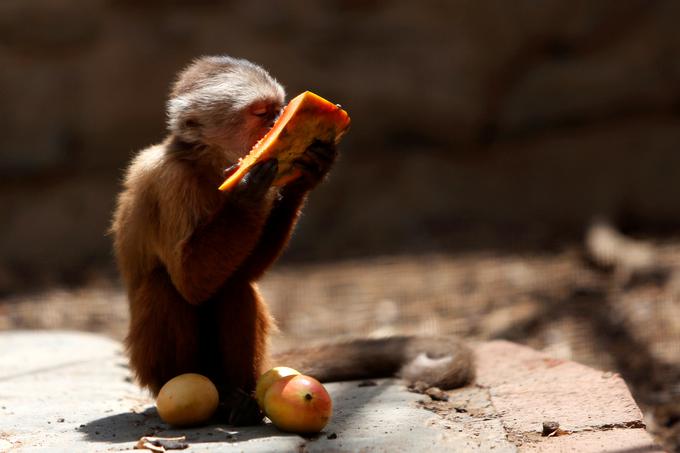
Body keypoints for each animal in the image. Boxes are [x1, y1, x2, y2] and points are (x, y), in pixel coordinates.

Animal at [111, 55, 472, 424]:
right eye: (261, 113)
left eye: (279, 109)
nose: (277, 122)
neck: (207, 163)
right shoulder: (170, 182)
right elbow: (191, 283)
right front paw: (247, 193)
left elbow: (241, 274)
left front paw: (306, 175)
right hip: (153, 372)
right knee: (166, 286)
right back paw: (209, 393)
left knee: (235, 286)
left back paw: (241, 398)